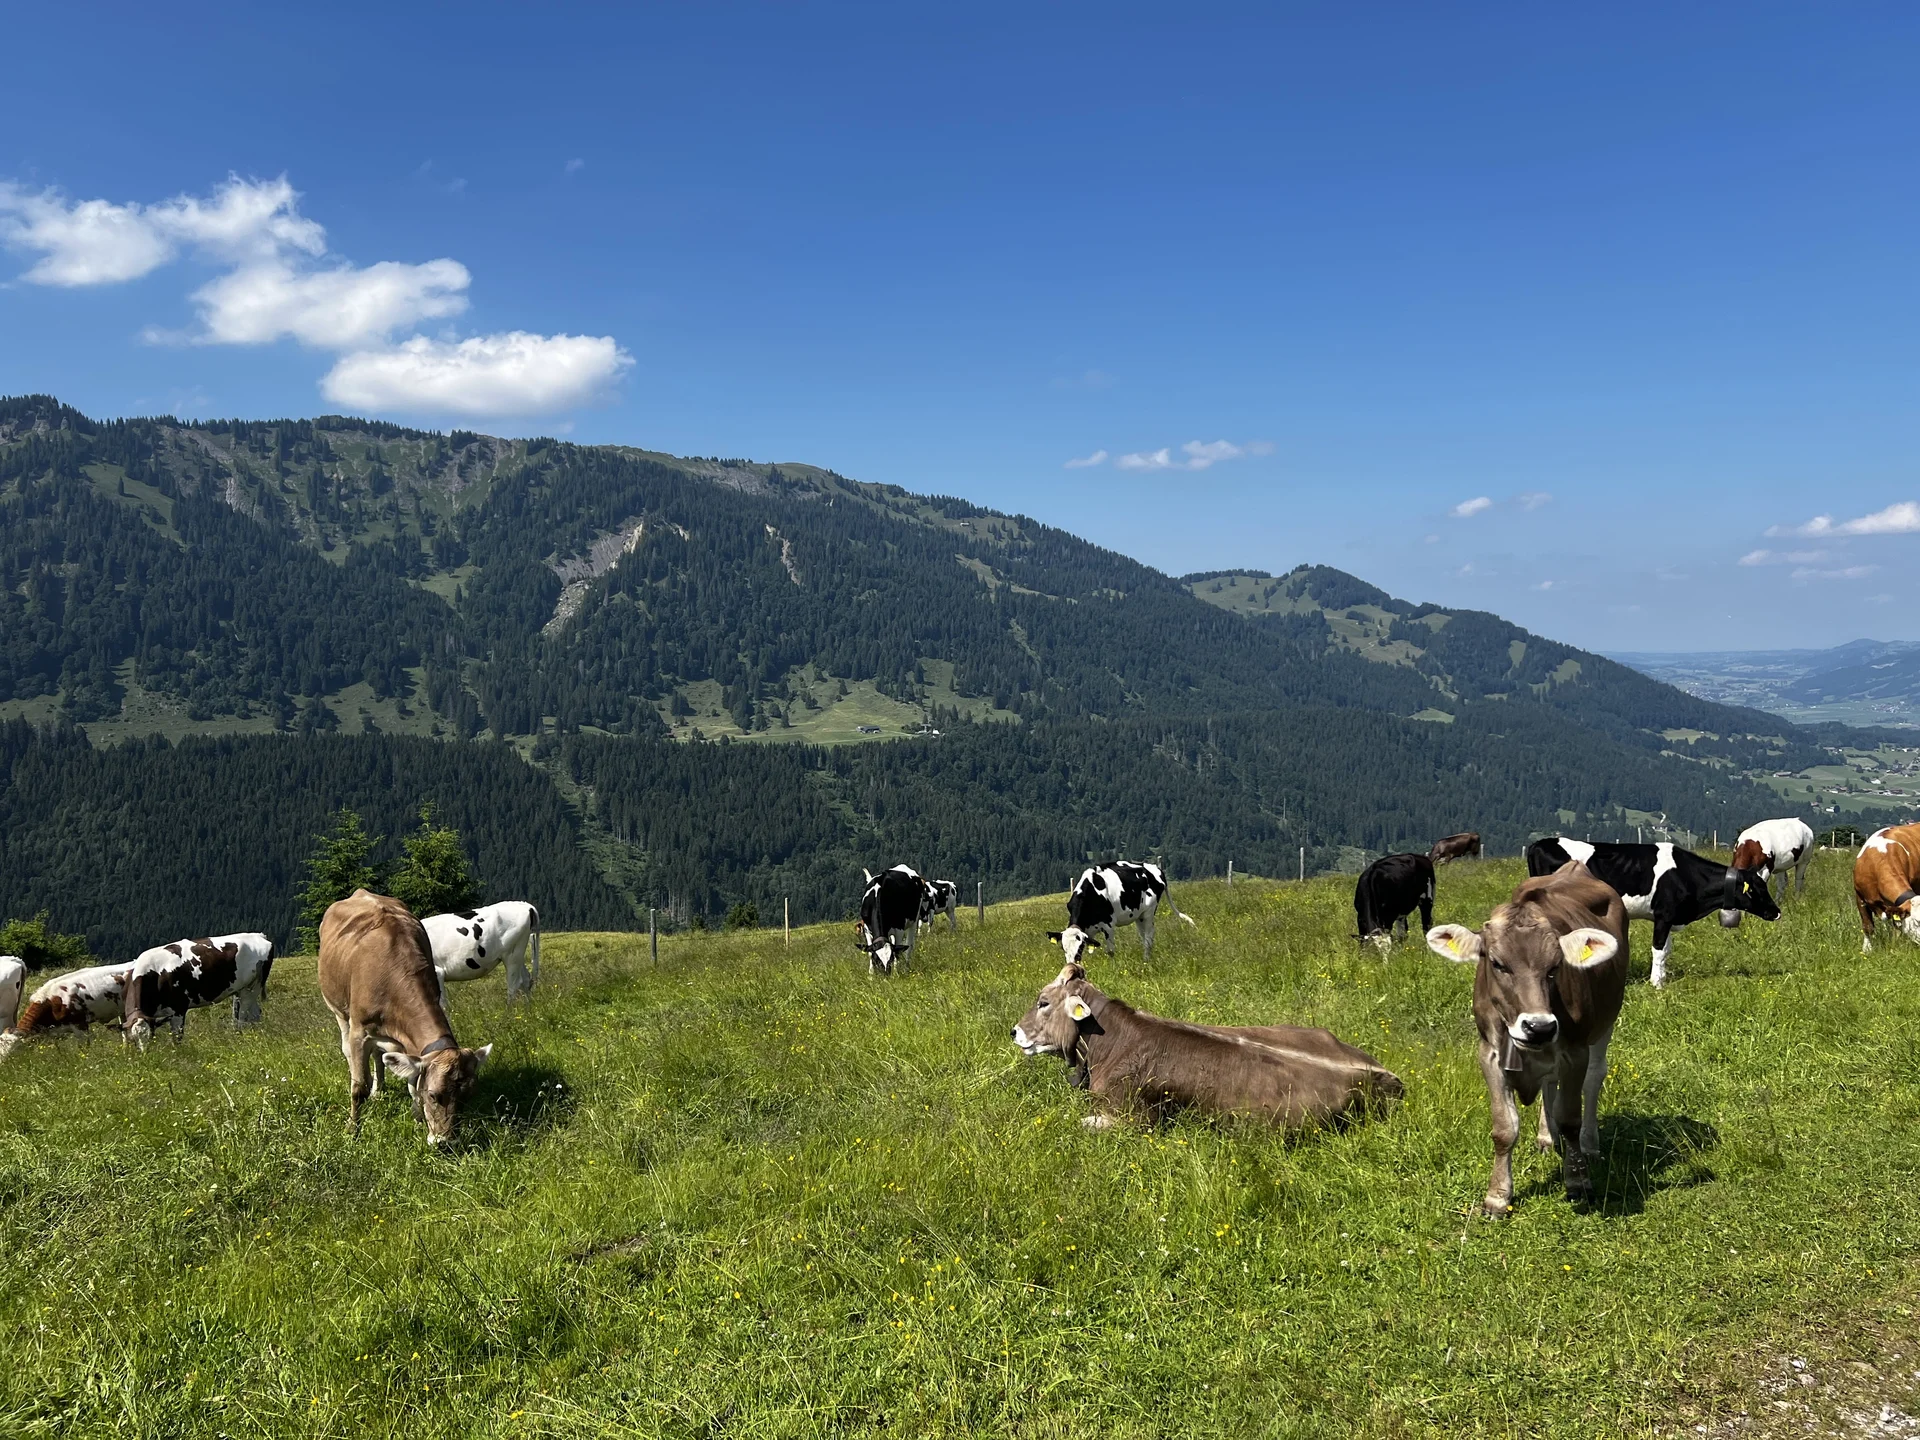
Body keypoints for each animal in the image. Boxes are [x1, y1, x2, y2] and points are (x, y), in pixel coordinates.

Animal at [123, 933, 274, 1049]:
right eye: (134, 1039)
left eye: (150, 1036)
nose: (144, 1054)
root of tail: (259, 935)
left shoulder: (178, 1009)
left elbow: (177, 1037)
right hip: (244, 989)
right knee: (255, 1014)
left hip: (252, 988)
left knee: (243, 1017)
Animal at [318, 888, 492, 1143]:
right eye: (434, 1095)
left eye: (466, 1098)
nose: (446, 1142)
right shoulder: (359, 1030)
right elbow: (358, 1088)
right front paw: (352, 1130)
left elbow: (412, 1082)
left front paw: (417, 1117)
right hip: (338, 1010)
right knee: (349, 1052)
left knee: (378, 1055)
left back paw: (379, 1090)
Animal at [1048, 861, 1194, 966]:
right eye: (1063, 948)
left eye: (1079, 948)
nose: (1071, 964)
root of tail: (1155, 868)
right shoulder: (1088, 929)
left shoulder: (1108, 924)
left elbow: (1110, 951)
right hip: (1139, 916)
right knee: (1144, 937)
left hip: (1149, 912)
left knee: (1149, 937)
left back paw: (1146, 960)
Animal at [1426, 862, 1628, 1214]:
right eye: (1497, 964)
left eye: (1556, 966)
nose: (1539, 1027)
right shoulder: (1489, 1053)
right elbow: (1504, 1128)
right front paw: (1497, 1196)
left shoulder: (1575, 1051)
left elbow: (1570, 1118)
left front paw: (1578, 1182)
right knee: (1549, 1083)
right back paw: (1547, 1138)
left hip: (1606, 1020)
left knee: (1594, 1078)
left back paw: (1589, 1145)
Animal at [1525, 837, 1778, 987]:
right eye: (1756, 889)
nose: (1777, 912)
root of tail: (1540, 843)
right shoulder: (1663, 916)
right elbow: (1658, 950)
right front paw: (1656, 983)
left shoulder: (1670, 918)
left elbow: (1666, 950)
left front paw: (1662, 978)